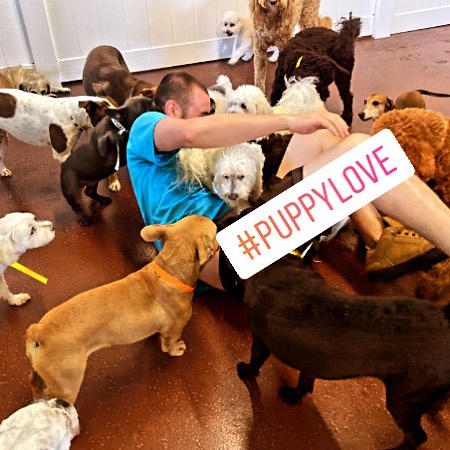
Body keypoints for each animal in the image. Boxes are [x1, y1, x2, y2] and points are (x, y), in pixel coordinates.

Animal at [26, 216, 218, 404]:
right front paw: (176, 349)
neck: (170, 269)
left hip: (39, 371)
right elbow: (168, 345)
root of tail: (39, 331)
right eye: (216, 234)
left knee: (35, 382)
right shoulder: (173, 330)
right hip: (67, 384)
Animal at [60, 96, 156, 226]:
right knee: (75, 205)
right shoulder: (103, 147)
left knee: (89, 192)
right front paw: (116, 136)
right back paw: (83, 218)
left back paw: (103, 199)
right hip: (71, 190)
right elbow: (109, 139)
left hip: (93, 181)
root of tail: (63, 166)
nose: (157, 106)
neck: (118, 124)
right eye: (147, 108)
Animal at [237, 253, 450, 449]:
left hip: (403, 400)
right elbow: (305, 381)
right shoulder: (312, 359)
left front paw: (246, 371)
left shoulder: (260, 340)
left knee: (417, 436)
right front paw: (294, 397)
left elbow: (255, 361)